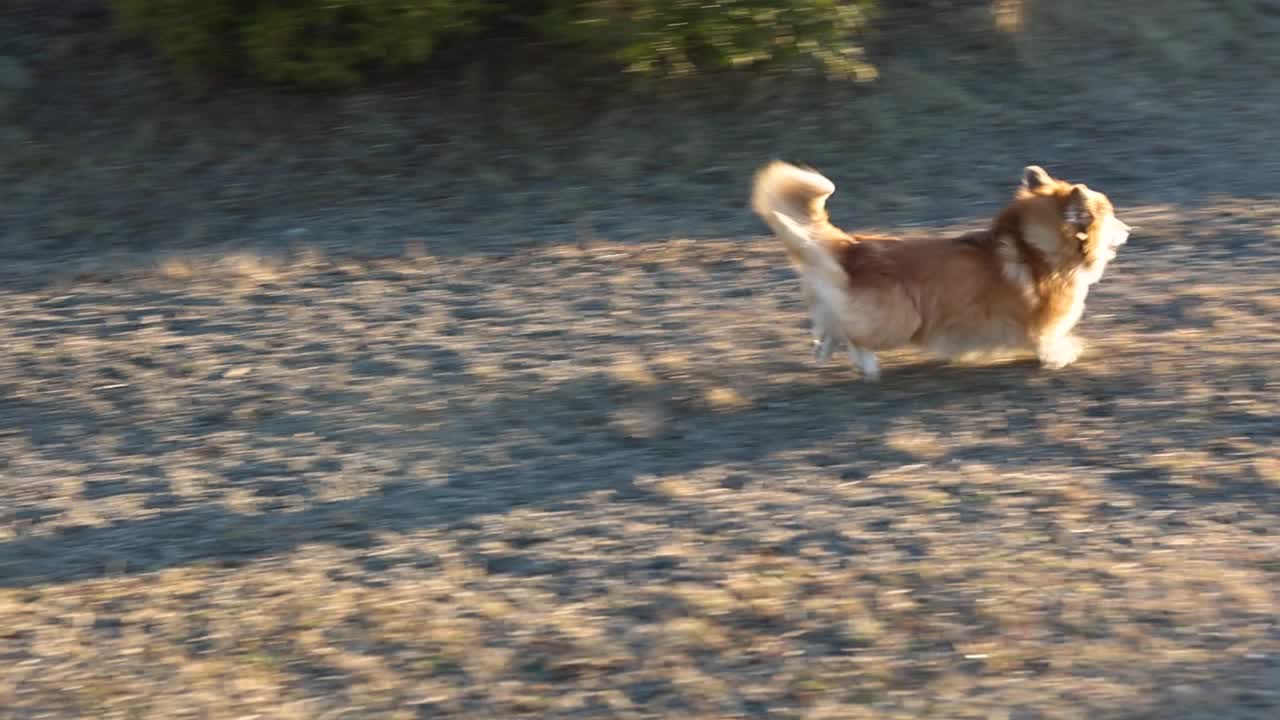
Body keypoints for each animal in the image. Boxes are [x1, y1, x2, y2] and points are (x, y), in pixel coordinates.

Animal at [747, 159, 1131, 379]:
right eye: (1111, 216)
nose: (1129, 230)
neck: (1035, 246)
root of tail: (850, 247)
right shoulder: (1043, 322)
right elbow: (1048, 340)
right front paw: (1063, 355)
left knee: (829, 327)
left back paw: (822, 352)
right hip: (900, 319)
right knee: (852, 337)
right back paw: (868, 366)